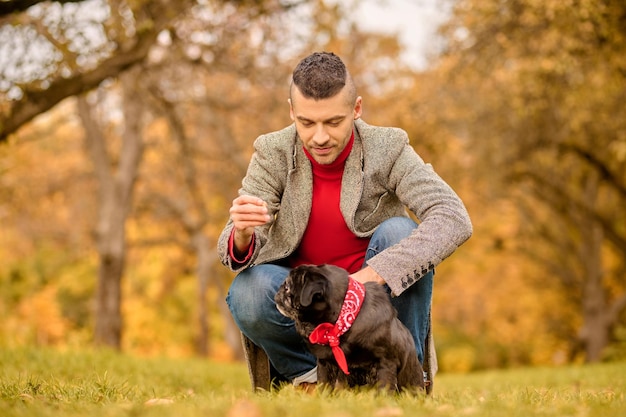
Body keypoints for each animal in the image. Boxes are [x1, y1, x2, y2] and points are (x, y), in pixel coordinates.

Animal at [274, 264, 424, 390]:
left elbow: (384, 390)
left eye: (287, 287)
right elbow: (324, 388)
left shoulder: (386, 364)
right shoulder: (324, 364)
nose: (279, 290)